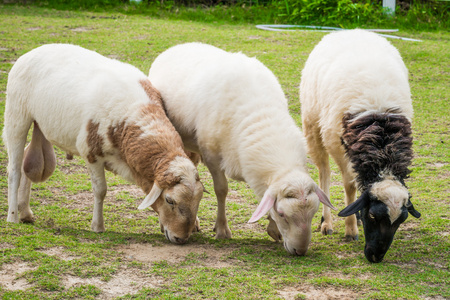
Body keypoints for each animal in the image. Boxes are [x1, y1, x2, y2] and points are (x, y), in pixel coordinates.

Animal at [3, 43, 204, 244]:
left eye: (199, 201)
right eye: (170, 200)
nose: (181, 238)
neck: (134, 114)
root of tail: (35, 50)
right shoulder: (91, 153)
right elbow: (101, 190)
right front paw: (98, 226)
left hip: (42, 124)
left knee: (28, 159)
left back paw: (25, 212)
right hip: (16, 115)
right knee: (14, 170)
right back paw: (12, 216)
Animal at [149, 41, 336, 254]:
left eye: (313, 213)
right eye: (282, 214)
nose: (300, 251)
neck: (261, 116)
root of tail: (181, 45)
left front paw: (273, 229)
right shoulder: (211, 155)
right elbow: (221, 190)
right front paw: (222, 229)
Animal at [298, 28, 422, 262]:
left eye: (401, 221)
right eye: (372, 215)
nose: (376, 257)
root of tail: (352, 30)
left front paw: (354, 218)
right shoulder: (336, 141)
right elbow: (350, 185)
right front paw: (350, 229)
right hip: (313, 125)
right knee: (324, 172)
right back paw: (327, 222)